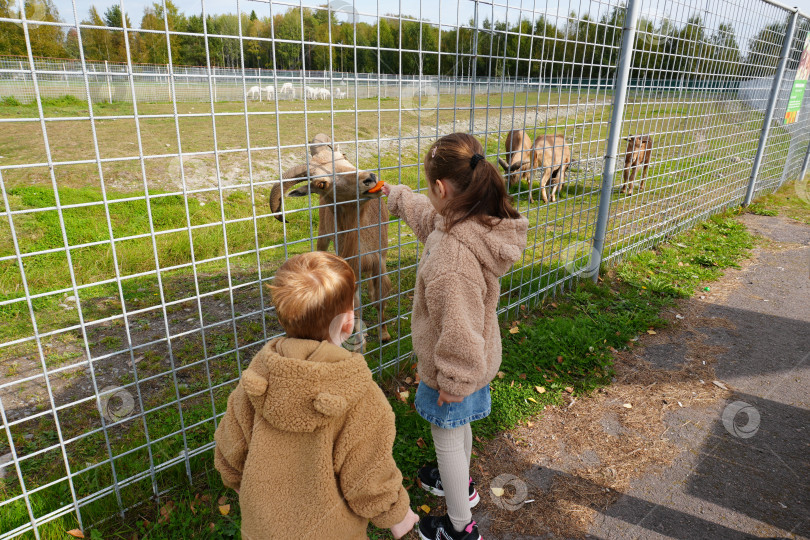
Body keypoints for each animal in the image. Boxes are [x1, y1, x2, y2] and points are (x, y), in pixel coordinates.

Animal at [268, 134, 392, 342]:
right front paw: (359, 337)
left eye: (343, 156)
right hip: (323, 235)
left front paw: (384, 334)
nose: (369, 178)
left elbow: (379, 299)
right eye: (321, 183)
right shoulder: (351, 266)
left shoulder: (379, 261)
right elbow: (356, 305)